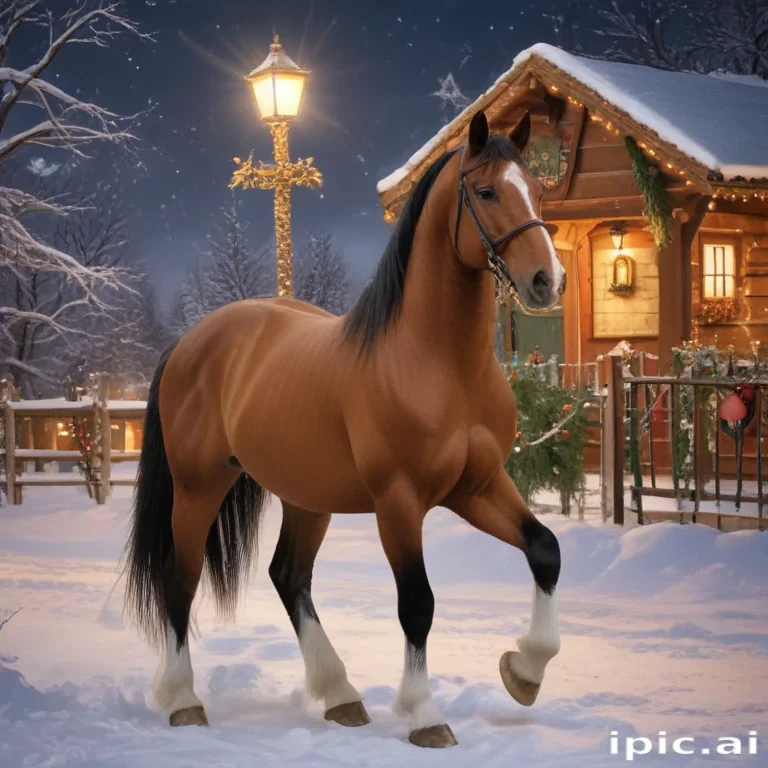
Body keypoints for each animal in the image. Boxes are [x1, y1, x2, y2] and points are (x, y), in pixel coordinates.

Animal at [124, 110, 566, 749]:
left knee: (289, 577)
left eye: (538, 190)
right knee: (180, 579)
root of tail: (190, 341)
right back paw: (185, 701)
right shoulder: (399, 501)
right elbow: (418, 603)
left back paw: (339, 694)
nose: (546, 281)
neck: (436, 363)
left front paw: (525, 671)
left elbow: (544, 550)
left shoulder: (477, 488)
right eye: (486, 192)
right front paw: (424, 714)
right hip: (198, 487)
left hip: (307, 497)